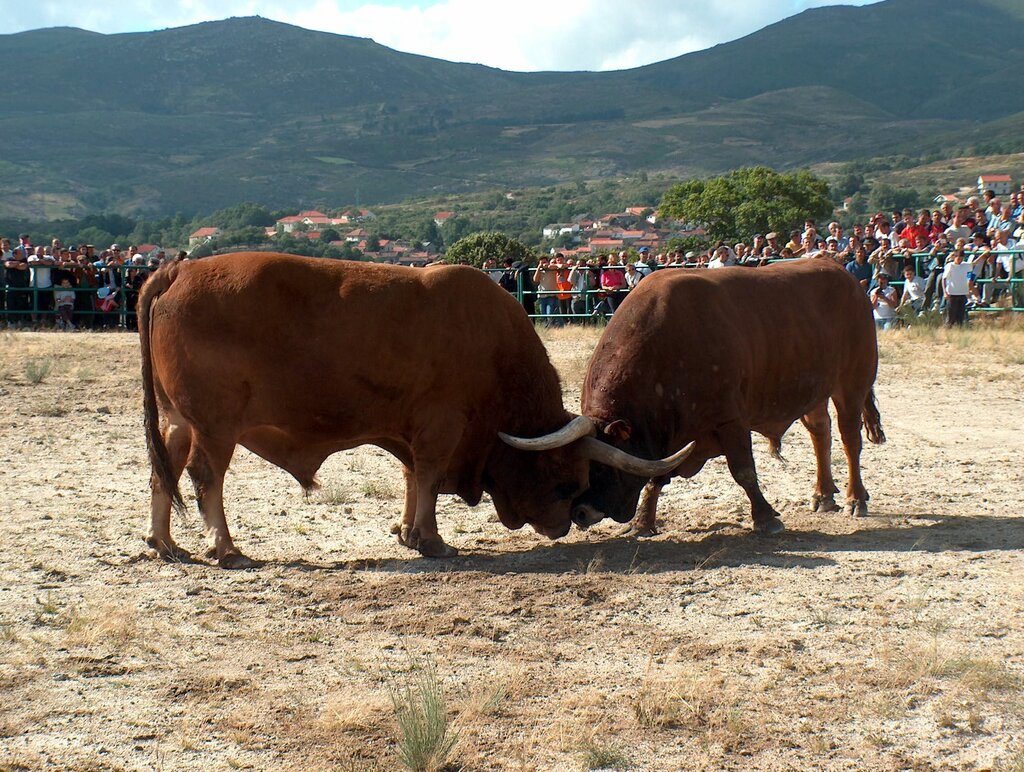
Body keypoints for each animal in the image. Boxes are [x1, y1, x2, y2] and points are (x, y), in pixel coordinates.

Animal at [134, 252, 679, 565]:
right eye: (567, 482)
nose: (562, 526)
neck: (490, 345)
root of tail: (179, 269)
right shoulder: (442, 427)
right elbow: (430, 478)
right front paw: (430, 539)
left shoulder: (410, 430)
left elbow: (413, 476)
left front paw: (405, 531)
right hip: (214, 427)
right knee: (205, 476)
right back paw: (225, 548)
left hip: (178, 422)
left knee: (164, 473)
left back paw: (165, 543)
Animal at [507, 259, 884, 536]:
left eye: (600, 468)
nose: (581, 513)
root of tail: (844, 275)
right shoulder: (668, 438)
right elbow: (656, 477)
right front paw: (643, 522)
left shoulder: (730, 421)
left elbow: (744, 471)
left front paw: (765, 517)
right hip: (814, 392)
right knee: (821, 433)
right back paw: (823, 494)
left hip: (852, 383)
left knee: (849, 439)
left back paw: (855, 498)